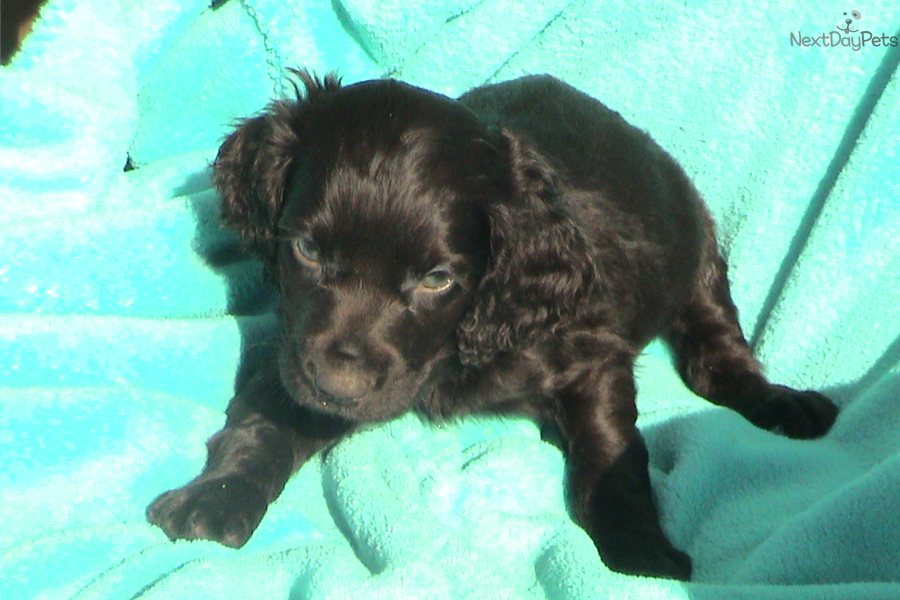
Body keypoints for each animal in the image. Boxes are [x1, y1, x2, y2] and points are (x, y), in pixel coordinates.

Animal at [147, 71, 838, 579]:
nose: (340, 391)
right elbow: (265, 418)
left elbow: (611, 453)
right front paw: (216, 496)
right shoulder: (300, 347)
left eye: (436, 280)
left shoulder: (591, 357)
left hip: (698, 250)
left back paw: (783, 403)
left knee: (716, 354)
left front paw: (640, 552)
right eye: (309, 251)